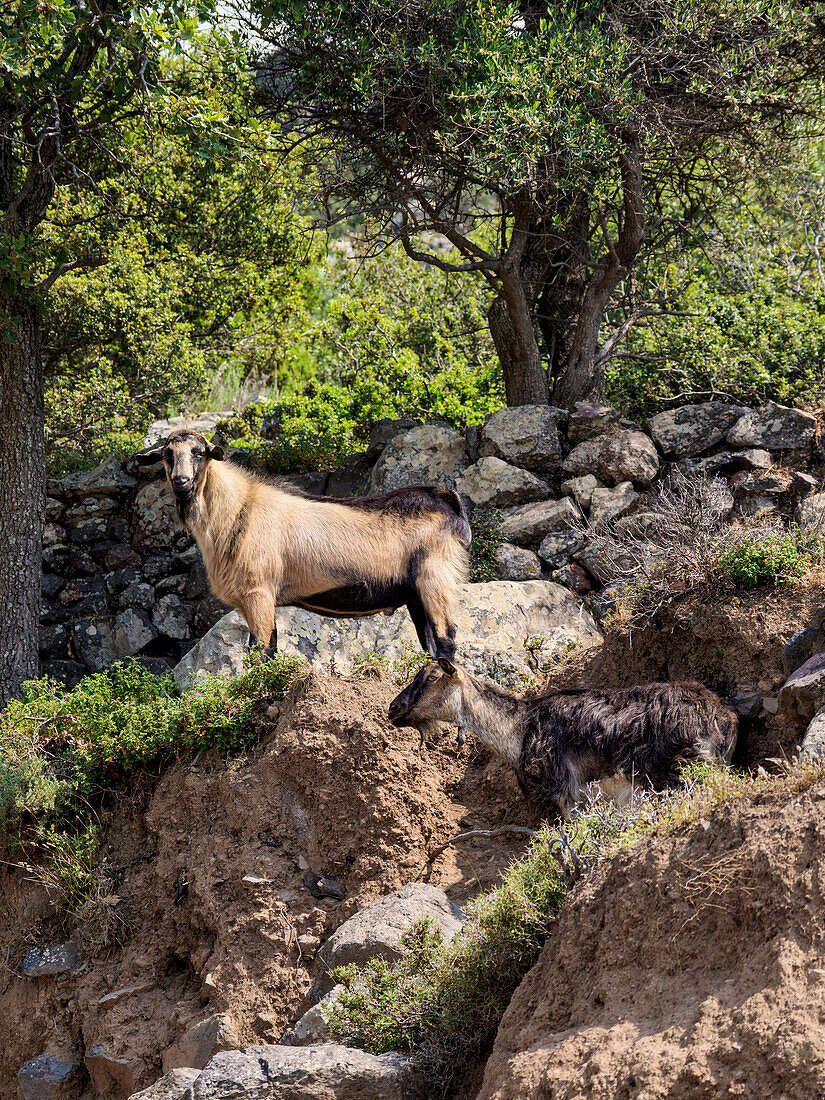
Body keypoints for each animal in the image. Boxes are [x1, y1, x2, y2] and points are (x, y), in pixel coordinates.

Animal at [136, 426, 470, 651]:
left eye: (198, 453)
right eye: (167, 455)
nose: (181, 482)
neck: (237, 511)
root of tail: (447, 500)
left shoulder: (259, 592)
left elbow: (262, 651)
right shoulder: (250, 601)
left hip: (434, 578)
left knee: (447, 640)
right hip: (415, 595)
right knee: (432, 646)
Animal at [389, 660, 743, 818]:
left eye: (431, 677)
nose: (394, 708)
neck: (519, 729)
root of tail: (724, 718)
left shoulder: (562, 789)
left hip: (677, 770)